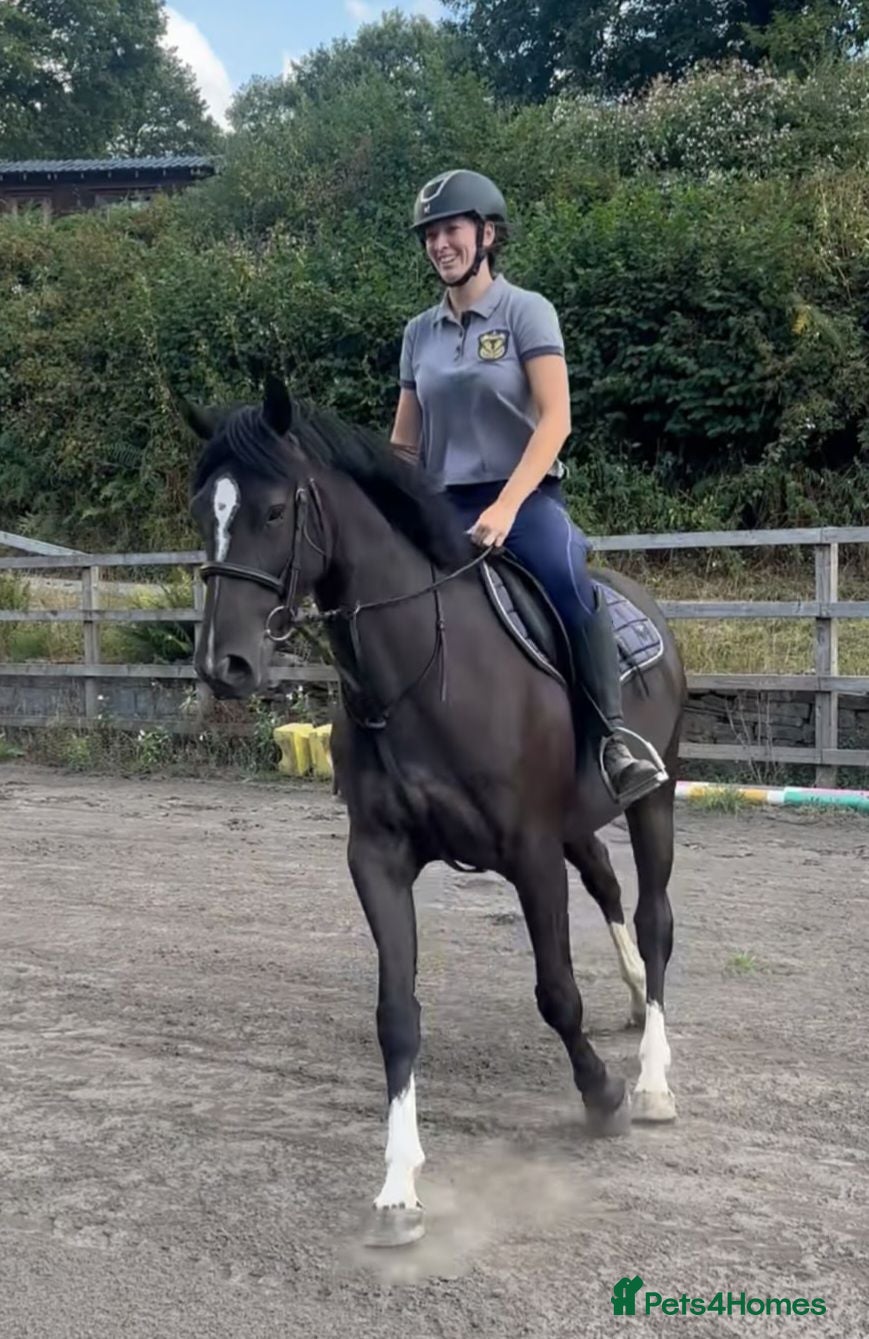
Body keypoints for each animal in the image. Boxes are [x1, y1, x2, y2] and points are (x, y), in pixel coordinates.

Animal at [182, 373, 687, 1249]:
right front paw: (397, 1190)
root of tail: (639, 601)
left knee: (654, 917)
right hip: (579, 822)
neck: (426, 668)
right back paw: (629, 999)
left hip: (650, 798)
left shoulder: (527, 850)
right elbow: (396, 1014)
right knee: (608, 885)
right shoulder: (378, 857)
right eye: (200, 511)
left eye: (274, 511)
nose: (225, 664)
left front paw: (602, 1096)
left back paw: (652, 1080)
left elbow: (555, 991)